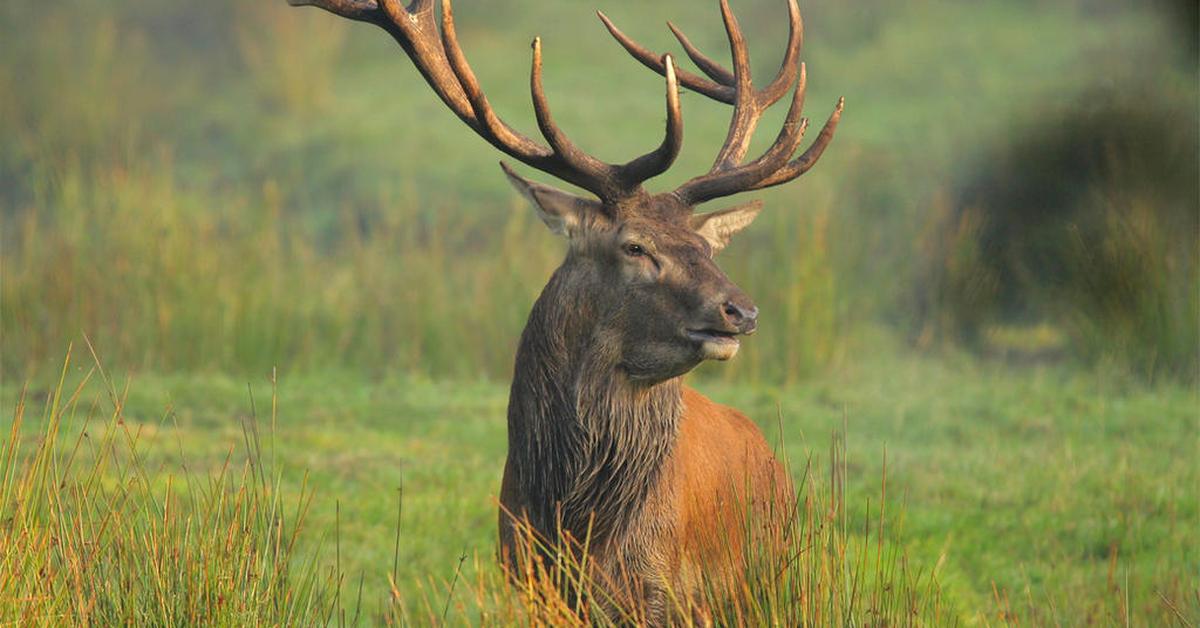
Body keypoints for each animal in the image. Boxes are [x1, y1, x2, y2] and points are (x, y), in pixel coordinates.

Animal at [285, 0, 840, 619]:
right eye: (634, 247)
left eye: (706, 247)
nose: (741, 311)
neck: (575, 523)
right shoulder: (526, 579)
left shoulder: (660, 589)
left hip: (766, 581)